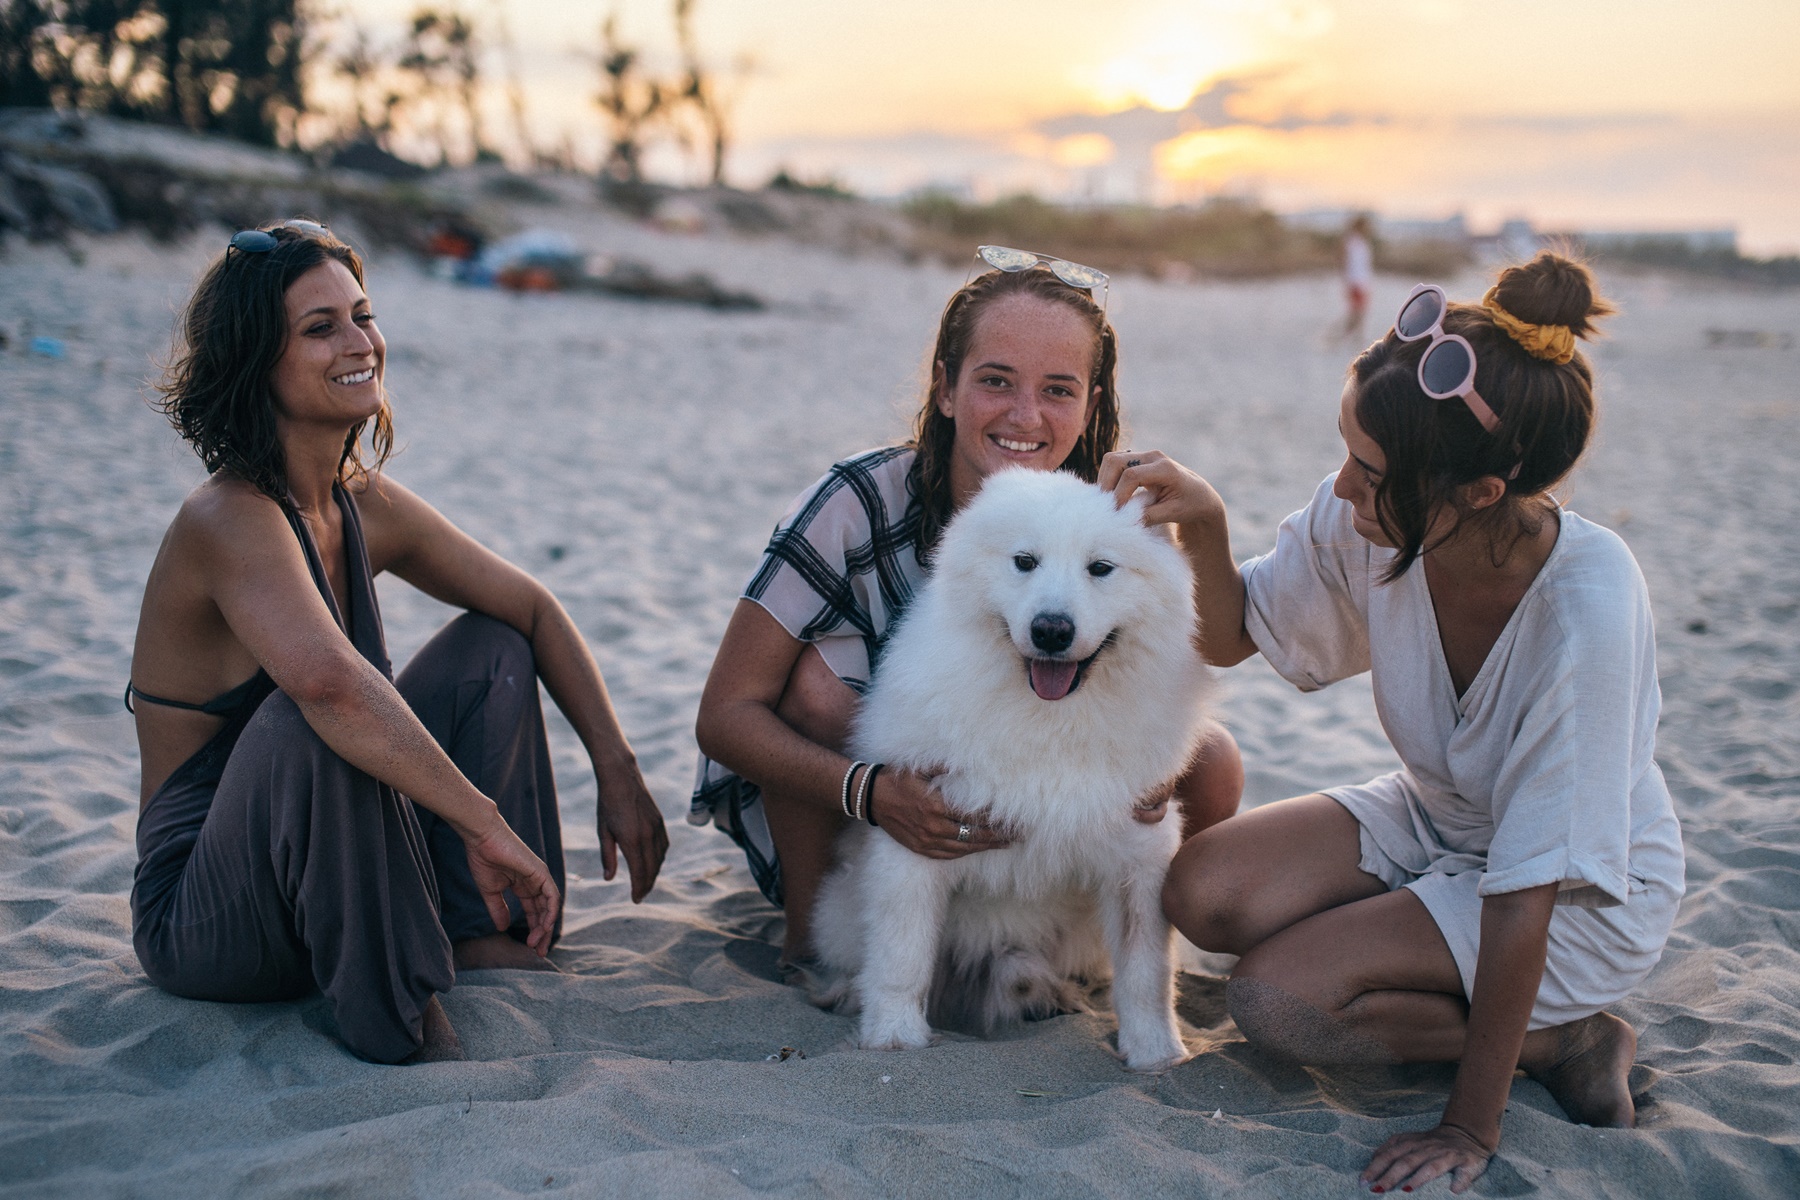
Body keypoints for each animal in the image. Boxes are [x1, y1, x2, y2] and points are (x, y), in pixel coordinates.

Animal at [810, 467, 1216, 1072]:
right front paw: (893, 1038)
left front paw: (1155, 1054)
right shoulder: (913, 843)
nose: (1051, 630)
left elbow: (1146, 971)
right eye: (1025, 561)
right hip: (839, 907)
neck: (1049, 719)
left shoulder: (1139, 853)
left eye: (1100, 568)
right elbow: (901, 957)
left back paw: (1043, 992)